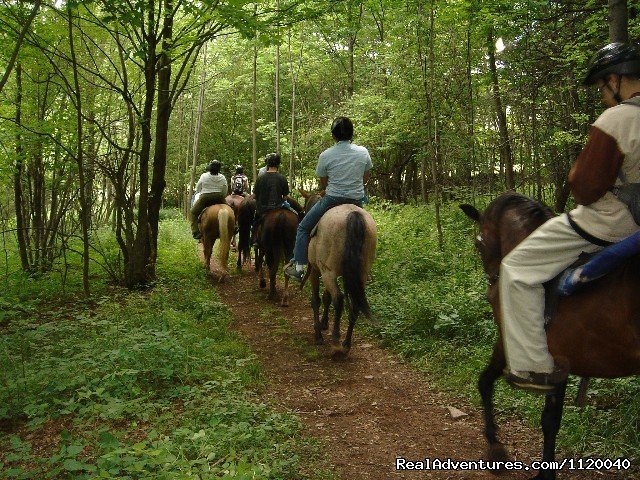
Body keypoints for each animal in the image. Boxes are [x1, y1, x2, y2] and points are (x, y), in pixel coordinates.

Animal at [306, 203, 376, 360]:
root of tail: (354, 215)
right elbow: (326, 298)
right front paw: (324, 323)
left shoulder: (315, 270)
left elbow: (316, 300)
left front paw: (318, 333)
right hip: (360, 275)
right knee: (355, 304)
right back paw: (346, 344)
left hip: (328, 272)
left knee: (338, 299)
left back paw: (336, 343)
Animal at [462, 192, 640, 480]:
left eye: (478, 245)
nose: (491, 289)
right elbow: (552, 419)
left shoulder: (515, 342)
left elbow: (487, 383)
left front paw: (496, 445)